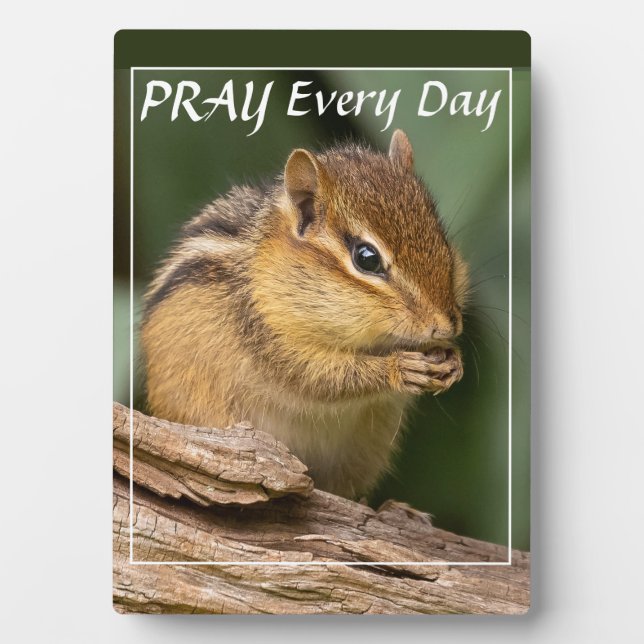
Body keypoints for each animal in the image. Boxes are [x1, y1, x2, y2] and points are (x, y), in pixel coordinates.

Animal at [140, 130, 469, 500]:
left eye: (442, 239)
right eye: (366, 258)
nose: (447, 324)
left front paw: (453, 361)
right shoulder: (265, 334)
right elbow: (317, 377)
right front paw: (398, 367)